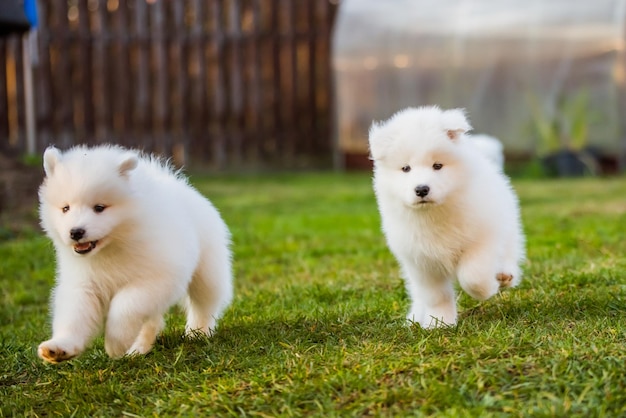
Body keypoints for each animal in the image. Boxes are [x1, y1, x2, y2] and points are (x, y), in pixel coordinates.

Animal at [37, 145, 232, 364]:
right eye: (65, 208)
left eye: (99, 208)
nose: (76, 232)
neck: (112, 248)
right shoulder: (84, 283)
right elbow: (75, 316)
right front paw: (59, 347)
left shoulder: (155, 278)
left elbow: (125, 305)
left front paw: (115, 343)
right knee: (152, 321)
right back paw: (139, 349)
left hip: (207, 270)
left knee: (205, 302)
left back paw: (198, 332)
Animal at [368, 106, 524, 328]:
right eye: (406, 168)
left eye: (437, 166)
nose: (421, 189)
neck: (434, 213)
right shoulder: (421, 262)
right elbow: (435, 296)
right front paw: (439, 323)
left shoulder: (483, 238)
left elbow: (473, 275)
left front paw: (486, 290)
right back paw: (415, 317)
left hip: (507, 226)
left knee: (509, 252)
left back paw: (504, 275)